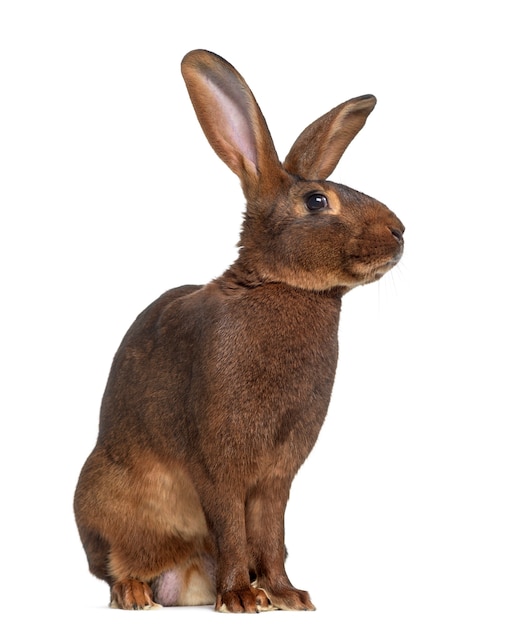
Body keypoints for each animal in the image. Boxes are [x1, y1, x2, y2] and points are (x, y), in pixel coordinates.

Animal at [73, 47, 406, 608]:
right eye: (317, 201)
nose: (401, 232)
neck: (280, 286)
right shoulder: (219, 463)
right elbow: (232, 526)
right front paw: (241, 599)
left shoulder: (276, 477)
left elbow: (269, 533)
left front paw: (287, 595)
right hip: (103, 501)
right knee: (114, 565)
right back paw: (136, 594)